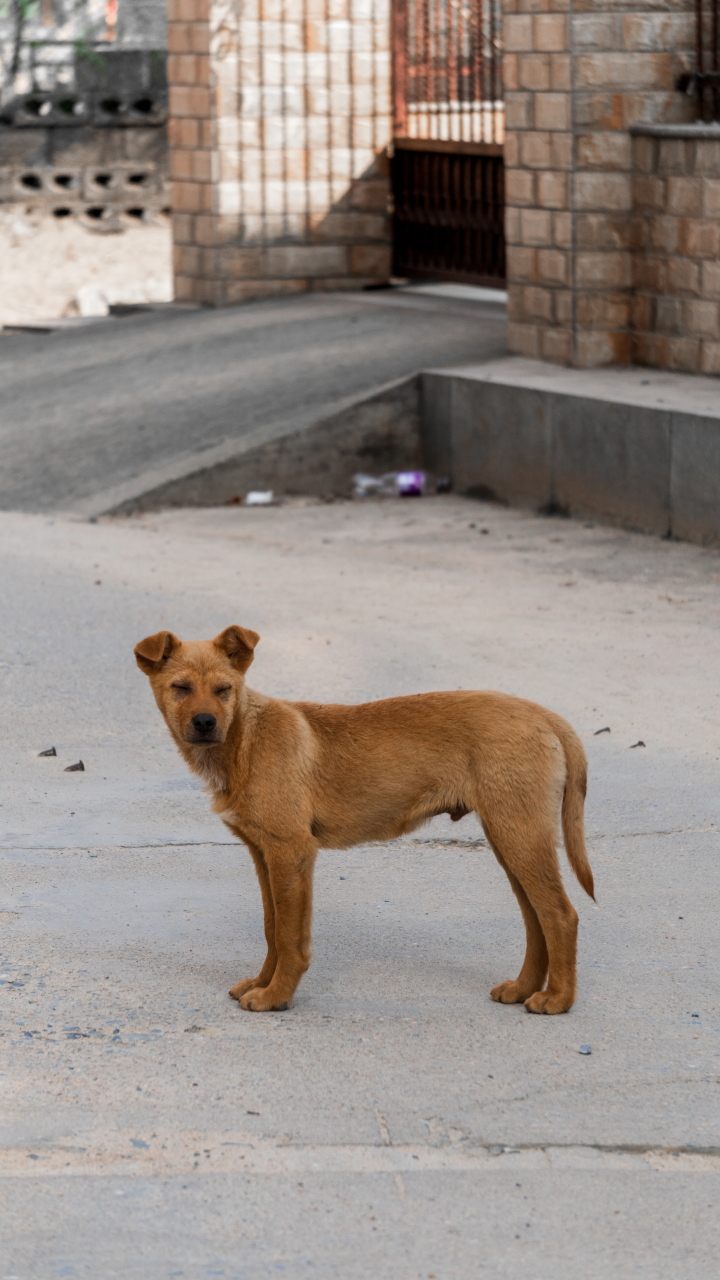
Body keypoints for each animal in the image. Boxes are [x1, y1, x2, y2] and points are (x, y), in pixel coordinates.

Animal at [134, 624, 594, 1013]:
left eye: (223, 689)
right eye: (180, 688)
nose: (205, 723)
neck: (244, 738)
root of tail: (545, 715)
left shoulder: (292, 852)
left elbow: (288, 936)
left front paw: (275, 996)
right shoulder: (264, 853)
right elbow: (271, 927)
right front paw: (262, 983)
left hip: (520, 835)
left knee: (560, 915)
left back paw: (557, 999)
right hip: (510, 837)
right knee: (536, 919)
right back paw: (522, 988)